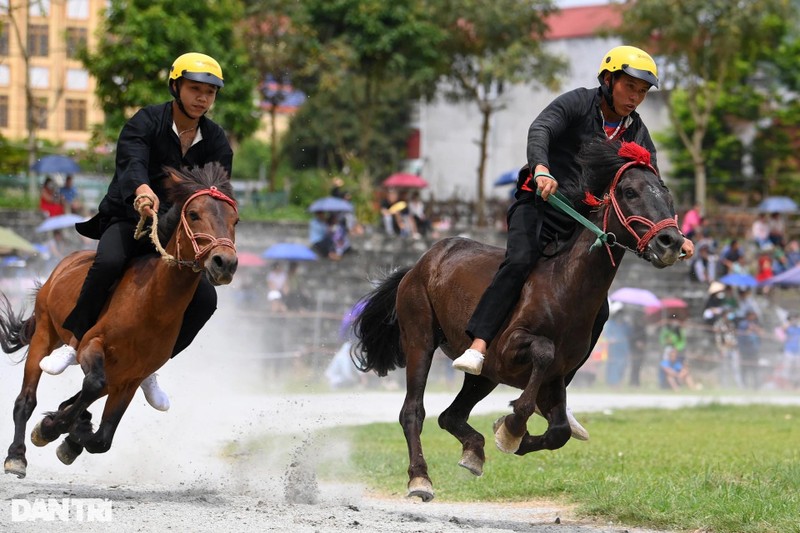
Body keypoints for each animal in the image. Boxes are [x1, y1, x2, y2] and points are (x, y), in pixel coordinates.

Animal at [0, 163, 238, 478]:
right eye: (194, 214)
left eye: (235, 220)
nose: (225, 262)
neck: (151, 304)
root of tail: (64, 263)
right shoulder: (93, 346)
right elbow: (92, 385)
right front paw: (51, 427)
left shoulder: (130, 378)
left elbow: (102, 438)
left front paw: (73, 434)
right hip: (44, 333)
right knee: (27, 399)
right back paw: (17, 455)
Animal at [354, 139, 684, 500]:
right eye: (629, 192)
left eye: (667, 196)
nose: (672, 242)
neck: (564, 285)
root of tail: (417, 265)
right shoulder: (509, 348)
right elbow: (542, 353)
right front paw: (511, 427)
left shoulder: (556, 377)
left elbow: (559, 431)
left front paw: (510, 433)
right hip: (420, 340)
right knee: (413, 411)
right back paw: (420, 479)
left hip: (484, 375)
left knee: (450, 416)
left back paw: (474, 450)